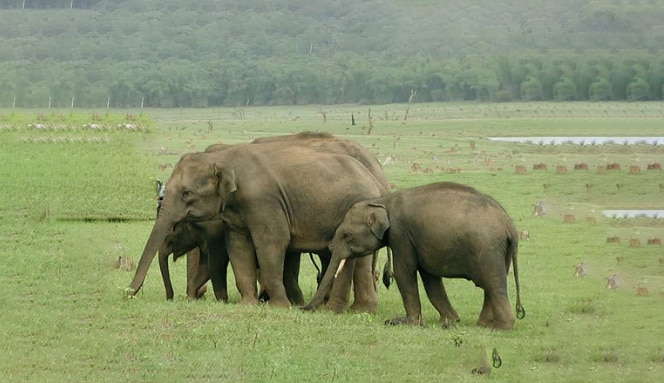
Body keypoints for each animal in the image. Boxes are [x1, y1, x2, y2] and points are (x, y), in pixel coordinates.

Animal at [128, 140, 390, 312]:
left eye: (187, 193)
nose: (128, 293)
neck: (224, 157)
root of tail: (376, 179)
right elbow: (238, 246)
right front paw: (248, 304)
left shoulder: (263, 201)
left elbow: (272, 243)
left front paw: (280, 307)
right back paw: (359, 310)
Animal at [304, 182, 524, 330]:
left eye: (346, 235)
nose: (303, 308)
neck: (383, 201)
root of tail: (510, 227)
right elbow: (430, 278)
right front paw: (449, 321)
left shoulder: (400, 234)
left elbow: (404, 273)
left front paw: (402, 322)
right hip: (499, 251)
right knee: (490, 286)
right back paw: (483, 325)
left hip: (488, 248)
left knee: (493, 285)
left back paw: (500, 327)